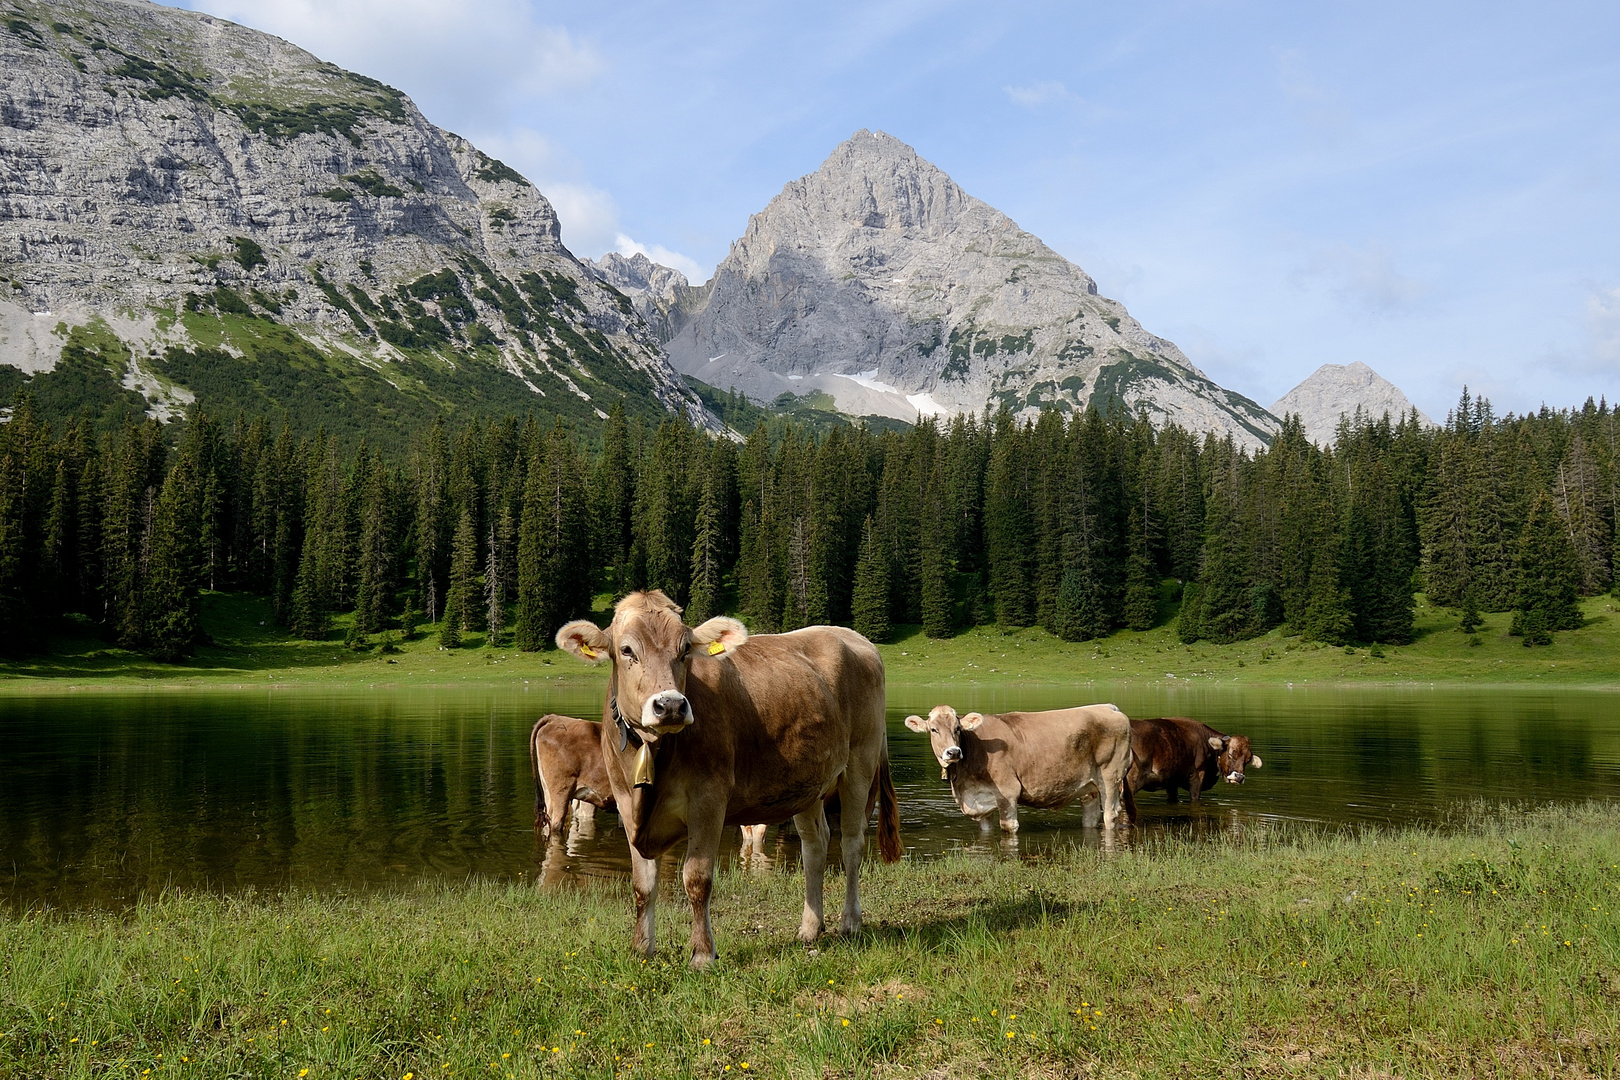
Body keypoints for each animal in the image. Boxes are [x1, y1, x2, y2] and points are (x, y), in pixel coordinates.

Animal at [560, 592, 907, 971]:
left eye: (685, 649)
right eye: (626, 650)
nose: (671, 706)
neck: (654, 750)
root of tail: (853, 636)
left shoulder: (708, 800)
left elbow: (696, 879)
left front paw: (702, 954)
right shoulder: (627, 806)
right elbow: (642, 884)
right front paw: (642, 948)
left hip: (860, 762)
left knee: (851, 843)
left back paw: (850, 922)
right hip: (808, 781)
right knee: (815, 845)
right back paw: (810, 927)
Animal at [907, 702, 1134, 835]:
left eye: (957, 728)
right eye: (933, 729)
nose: (953, 752)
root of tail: (1108, 707)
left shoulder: (1007, 792)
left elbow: (1008, 827)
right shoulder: (980, 802)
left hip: (1110, 777)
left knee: (1110, 814)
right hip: (1089, 786)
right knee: (1090, 816)